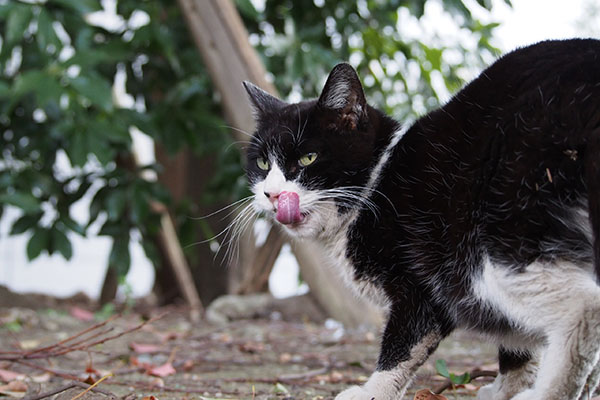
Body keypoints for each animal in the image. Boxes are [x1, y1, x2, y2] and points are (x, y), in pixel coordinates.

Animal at [243, 38, 600, 400]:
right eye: (262, 163)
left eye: (308, 158)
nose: (272, 194)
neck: (377, 182)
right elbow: (517, 339)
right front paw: (508, 388)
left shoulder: (418, 285)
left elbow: (403, 346)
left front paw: (371, 391)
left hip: (503, 227)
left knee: (584, 308)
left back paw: (550, 392)